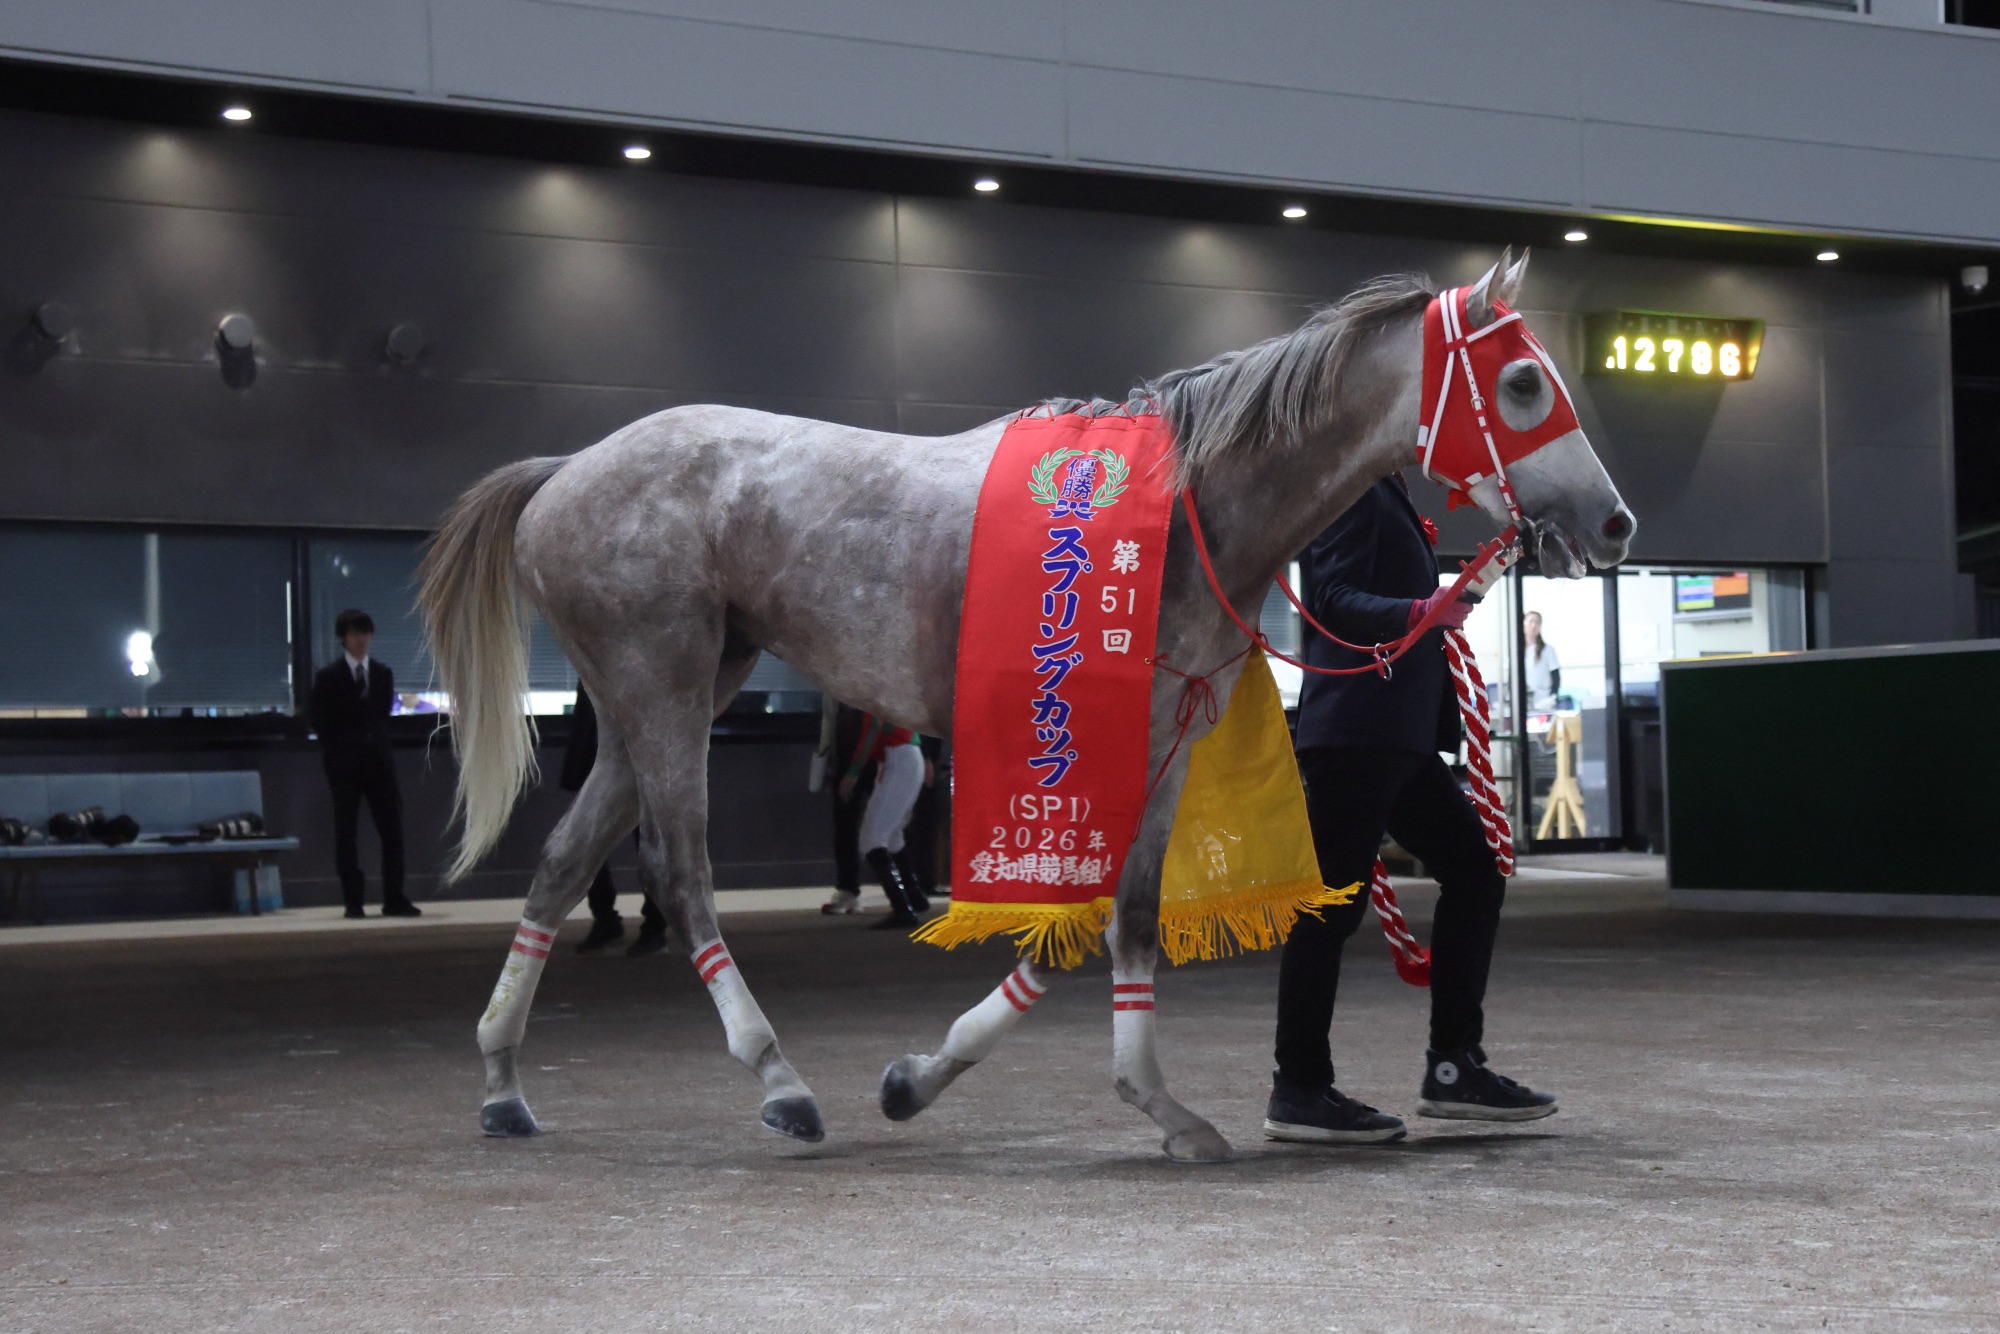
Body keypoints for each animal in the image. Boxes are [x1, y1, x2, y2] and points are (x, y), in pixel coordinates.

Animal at [418, 249, 1634, 1162]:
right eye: (1523, 383)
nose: (1615, 522)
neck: (1184, 507)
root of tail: (568, 468)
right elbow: (1089, 911)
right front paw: (931, 1076)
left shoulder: (1167, 739)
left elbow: (1126, 912)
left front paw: (1140, 1102)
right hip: (664, 683)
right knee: (680, 874)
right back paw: (778, 1079)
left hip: (663, 691)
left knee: (563, 860)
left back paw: (502, 1082)